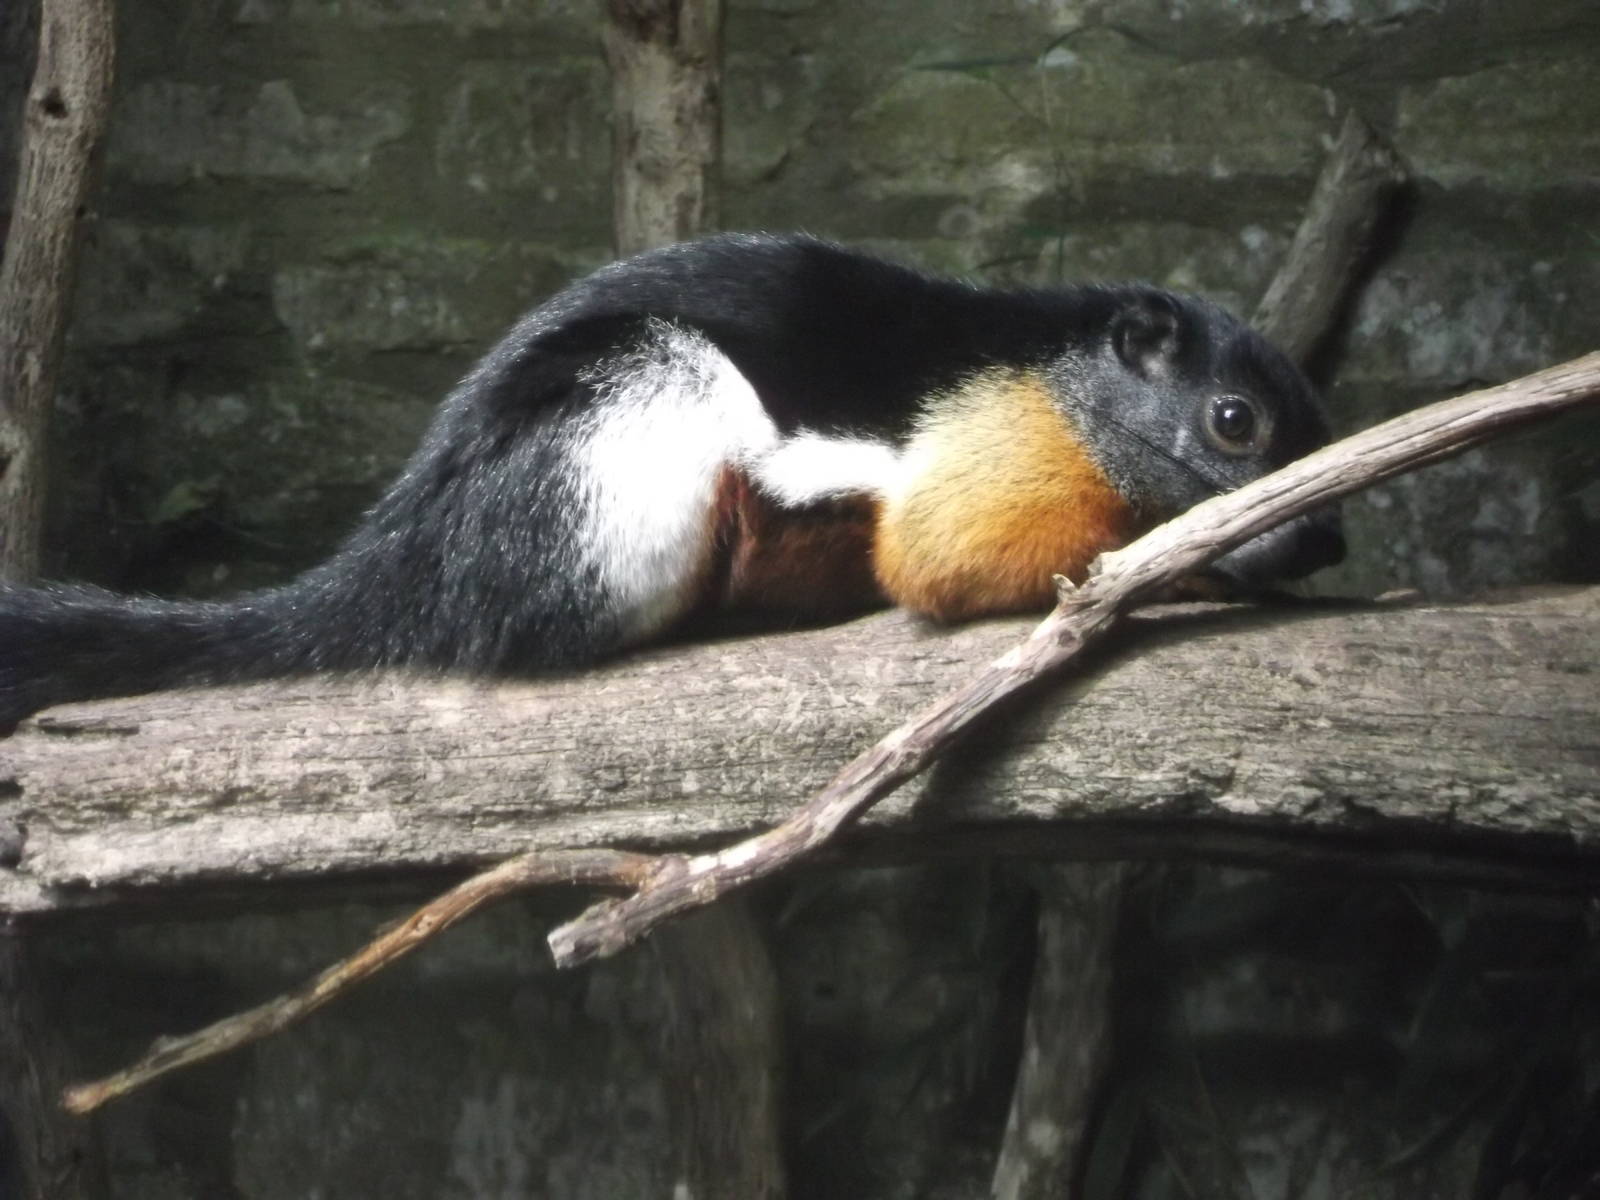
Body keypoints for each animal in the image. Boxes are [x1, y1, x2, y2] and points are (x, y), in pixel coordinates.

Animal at [0, 233, 1344, 729]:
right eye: (1232, 423)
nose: (1325, 546)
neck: (1063, 385)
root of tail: (410, 553)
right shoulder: (989, 457)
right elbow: (949, 563)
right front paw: (1177, 571)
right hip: (637, 412)